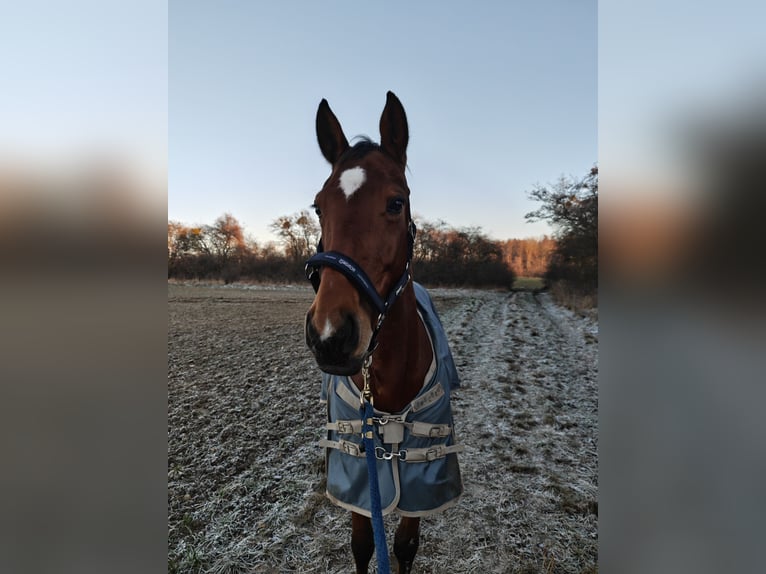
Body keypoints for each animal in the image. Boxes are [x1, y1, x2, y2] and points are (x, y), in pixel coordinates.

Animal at [304, 92, 463, 574]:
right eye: (318, 206)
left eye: (396, 202)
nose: (331, 335)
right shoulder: (359, 470)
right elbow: (362, 545)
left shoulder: (421, 478)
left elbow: (406, 547)